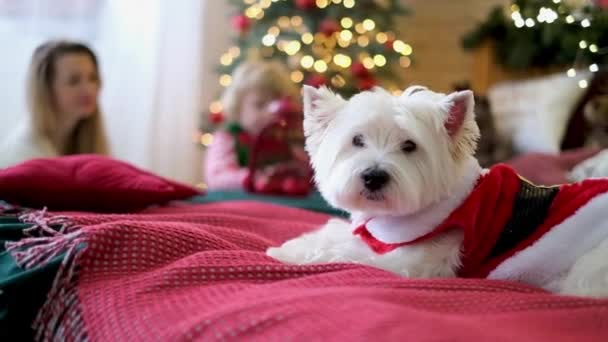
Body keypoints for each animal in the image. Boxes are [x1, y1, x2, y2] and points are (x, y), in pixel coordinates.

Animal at [268, 85, 608, 296]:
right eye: (357, 140)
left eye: (409, 146)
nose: (373, 177)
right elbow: (334, 231)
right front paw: (295, 242)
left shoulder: (413, 260)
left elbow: (345, 250)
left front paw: (287, 252)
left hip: (587, 267)